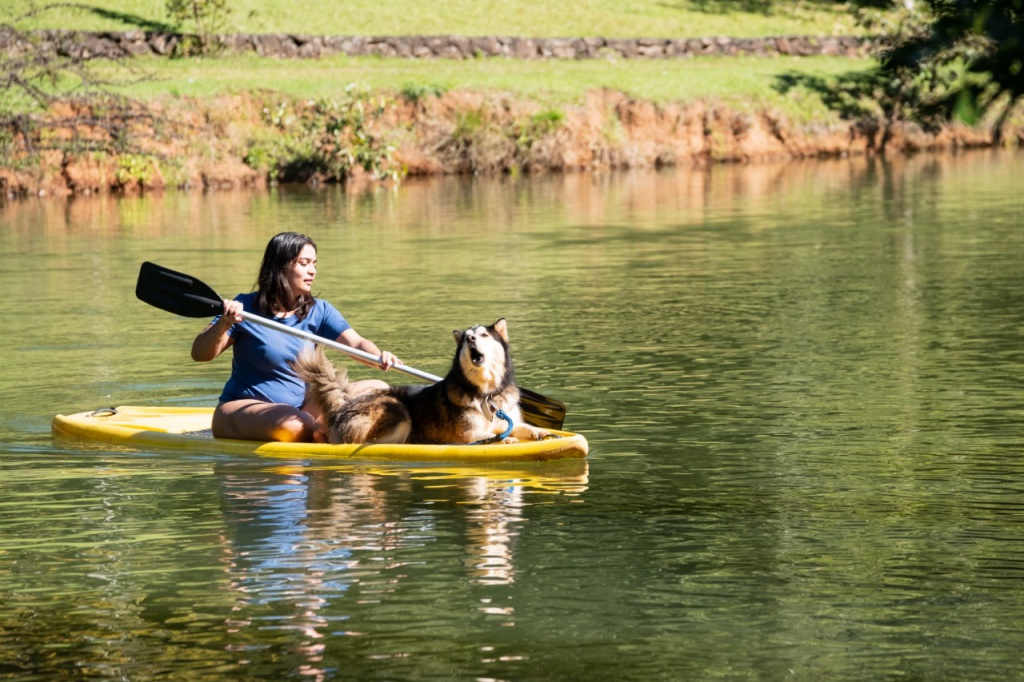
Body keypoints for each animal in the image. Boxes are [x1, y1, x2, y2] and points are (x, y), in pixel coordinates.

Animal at [294, 317, 552, 444]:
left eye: (484, 335)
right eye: (467, 337)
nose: (470, 339)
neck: (486, 394)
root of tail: (343, 406)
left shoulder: (507, 417)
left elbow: (520, 426)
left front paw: (538, 431)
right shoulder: (465, 436)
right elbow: (488, 436)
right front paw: (503, 440)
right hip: (398, 412)